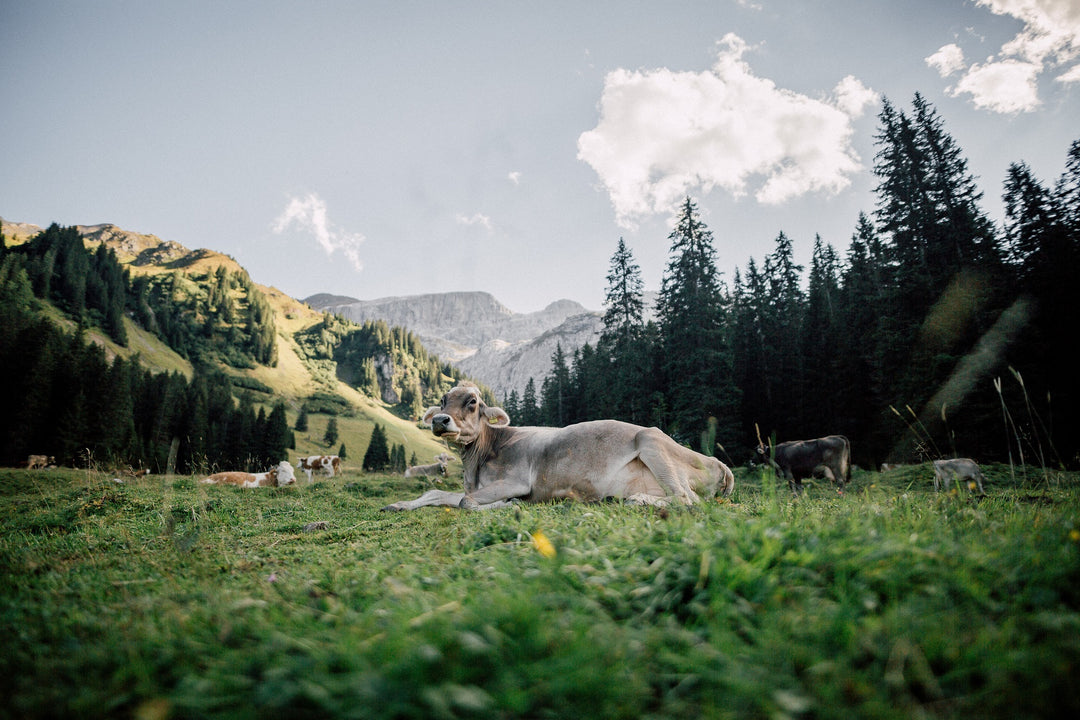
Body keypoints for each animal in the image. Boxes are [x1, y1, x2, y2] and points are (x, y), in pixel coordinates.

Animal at [382, 382, 734, 511]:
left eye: (472, 402)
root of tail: (718, 463)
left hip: (651, 441)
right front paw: (399, 504)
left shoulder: (516, 480)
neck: (477, 464)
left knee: (686, 499)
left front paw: (508, 505)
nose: (441, 420)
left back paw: (636, 500)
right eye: (442, 400)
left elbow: (465, 502)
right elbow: (440, 494)